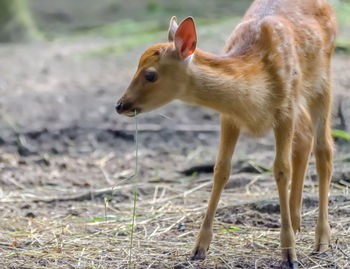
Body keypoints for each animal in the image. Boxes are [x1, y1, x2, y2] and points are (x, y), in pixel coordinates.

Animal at [116, 0, 338, 264]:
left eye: (150, 74)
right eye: (136, 66)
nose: (120, 105)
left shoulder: (285, 110)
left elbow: (281, 170)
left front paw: (289, 254)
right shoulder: (230, 117)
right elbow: (221, 169)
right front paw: (198, 249)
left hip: (321, 79)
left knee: (324, 149)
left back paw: (321, 240)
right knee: (305, 137)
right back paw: (296, 223)